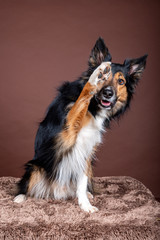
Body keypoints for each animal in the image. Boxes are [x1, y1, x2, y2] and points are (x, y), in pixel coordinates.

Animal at [13, 38, 148, 213]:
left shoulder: (86, 149)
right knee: (26, 185)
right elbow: (81, 99)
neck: (93, 109)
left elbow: (82, 182)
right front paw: (95, 75)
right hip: (35, 166)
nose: (108, 93)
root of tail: (57, 191)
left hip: (88, 166)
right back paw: (20, 197)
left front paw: (85, 205)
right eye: (103, 78)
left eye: (121, 81)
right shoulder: (67, 132)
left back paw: (87, 194)